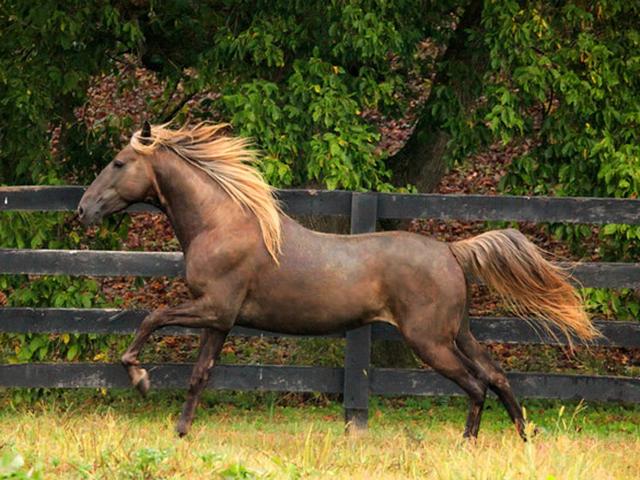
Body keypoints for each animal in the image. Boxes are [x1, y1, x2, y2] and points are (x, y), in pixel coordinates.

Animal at [78, 121, 598, 438]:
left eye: (119, 163)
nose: (83, 209)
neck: (221, 223)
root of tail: (451, 251)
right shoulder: (220, 321)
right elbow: (199, 374)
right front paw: (182, 431)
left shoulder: (212, 308)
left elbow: (152, 317)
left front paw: (141, 379)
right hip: (459, 333)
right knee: (497, 375)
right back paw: (523, 437)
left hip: (429, 340)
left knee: (475, 385)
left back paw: (468, 443)